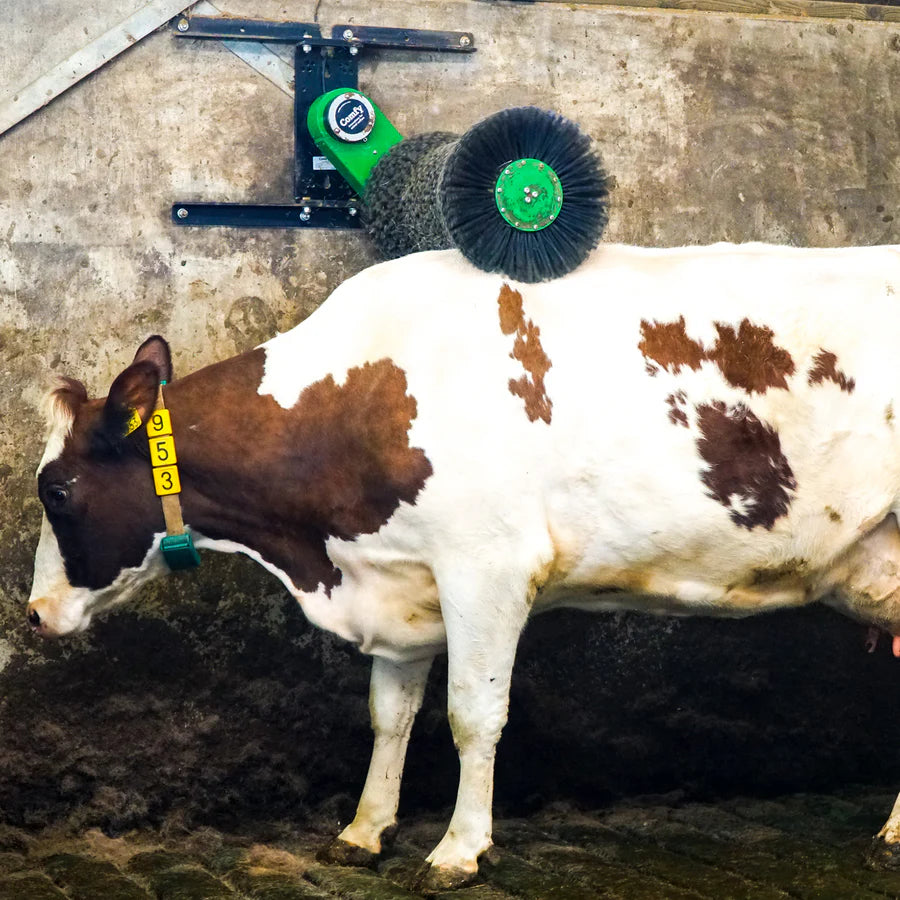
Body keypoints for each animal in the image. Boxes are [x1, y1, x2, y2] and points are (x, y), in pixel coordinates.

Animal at [27, 242, 900, 889]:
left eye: (57, 490)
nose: (33, 614)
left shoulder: (487, 567)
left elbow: (472, 717)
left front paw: (458, 850)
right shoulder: (396, 580)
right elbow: (390, 716)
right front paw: (363, 832)